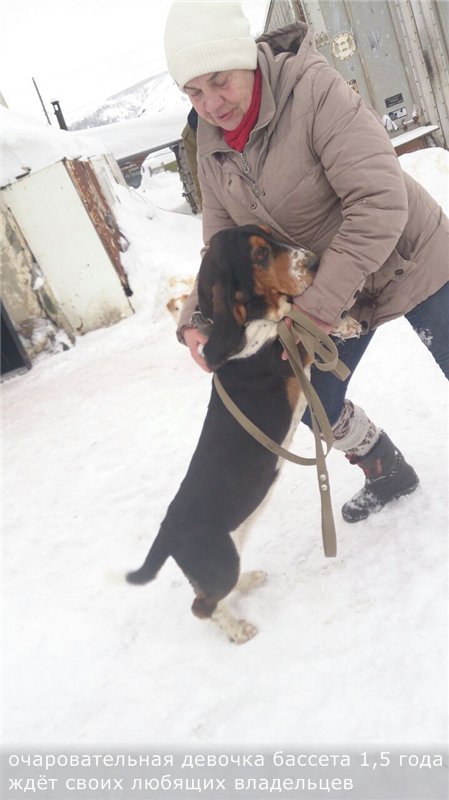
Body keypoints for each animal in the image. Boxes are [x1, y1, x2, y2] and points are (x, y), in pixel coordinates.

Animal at [127, 225, 361, 643]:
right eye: (260, 256)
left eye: (271, 237)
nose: (315, 261)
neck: (246, 329)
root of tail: (167, 532)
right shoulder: (284, 362)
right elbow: (291, 329)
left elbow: (295, 320)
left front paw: (344, 322)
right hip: (219, 563)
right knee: (201, 607)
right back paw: (238, 631)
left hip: (228, 553)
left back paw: (250, 581)